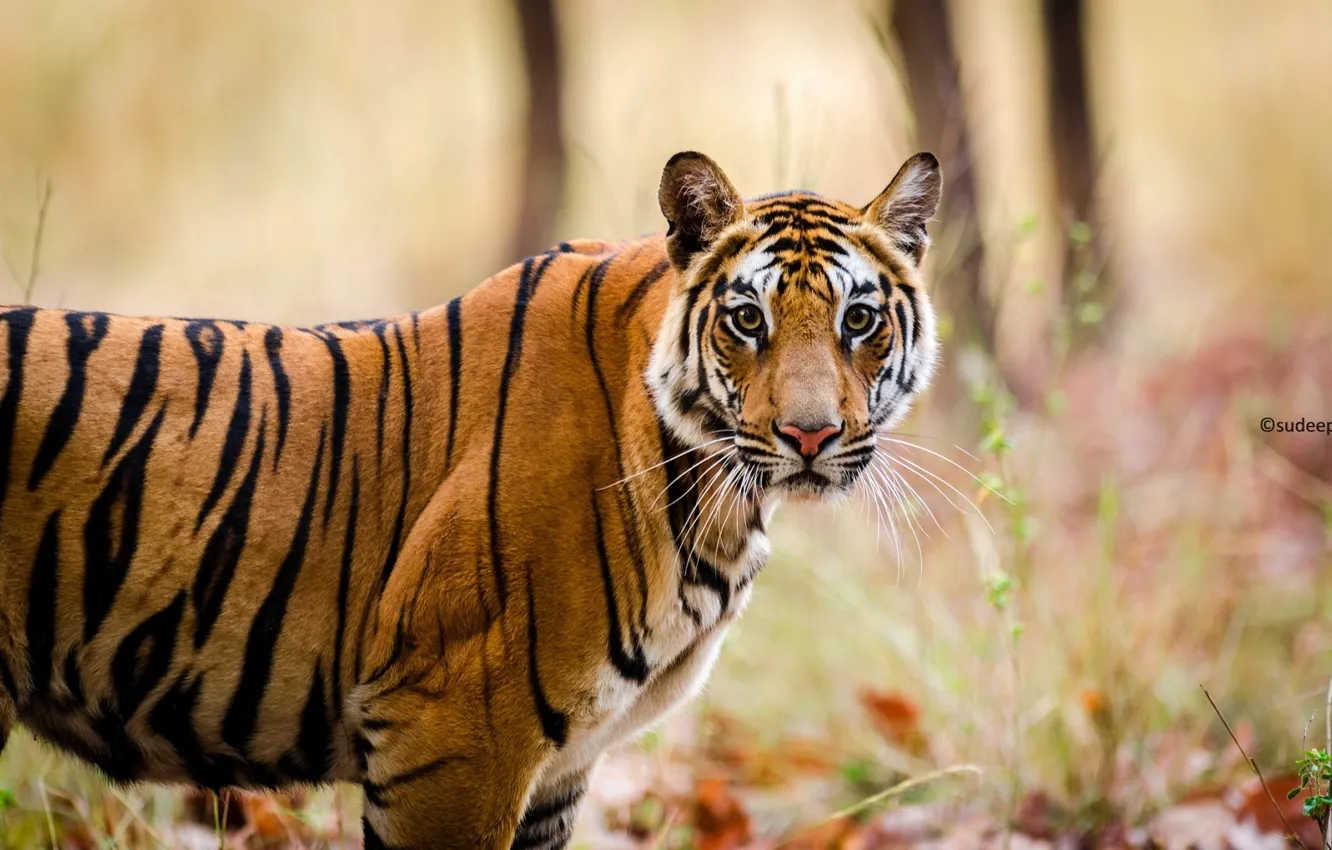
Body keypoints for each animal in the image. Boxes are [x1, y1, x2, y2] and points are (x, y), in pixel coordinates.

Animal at [0, 150, 942, 848]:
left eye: (860, 321)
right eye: (748, 320)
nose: (811, 436)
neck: (717, 501)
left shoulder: (559, 769)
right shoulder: (455, 728)